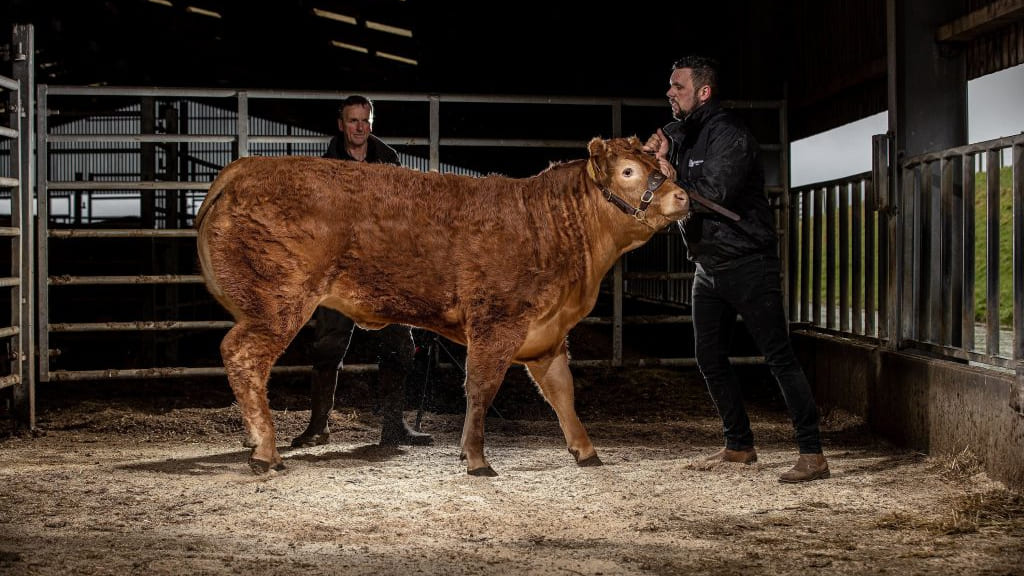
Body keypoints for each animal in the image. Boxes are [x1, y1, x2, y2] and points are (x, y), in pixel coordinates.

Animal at [195, 136, 691, 476]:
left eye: (658, 164)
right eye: (627, 172)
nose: (682, 196)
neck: (550, 226)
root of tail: (243, 167)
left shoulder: (546, 336)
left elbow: (562, 393)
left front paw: (585, 450)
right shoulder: (496, 324)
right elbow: (482, 388)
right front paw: (476, 458)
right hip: (278, 301)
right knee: (242, 355)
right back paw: (266, 451)